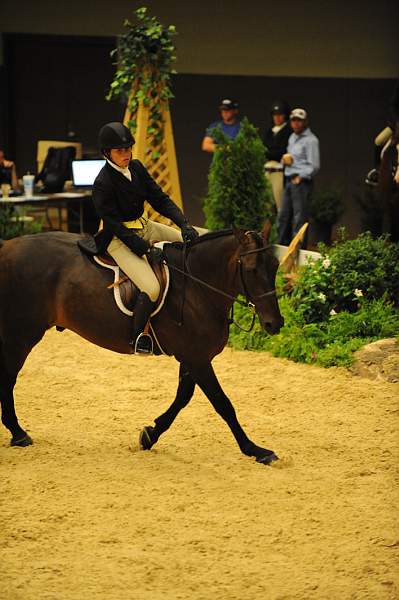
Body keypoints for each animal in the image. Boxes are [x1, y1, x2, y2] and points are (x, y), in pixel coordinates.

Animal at [0, 229, 284, 464]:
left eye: (274, 267)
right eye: (251, 269)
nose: (275, 323)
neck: (196, 285)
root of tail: (6, 247)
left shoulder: (192, 357)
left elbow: (183, 398)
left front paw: (150, 434)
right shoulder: (197, 359)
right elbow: (223, 404)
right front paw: (256, 450)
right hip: (22, 333)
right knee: (8, 378)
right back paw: (18, 433)